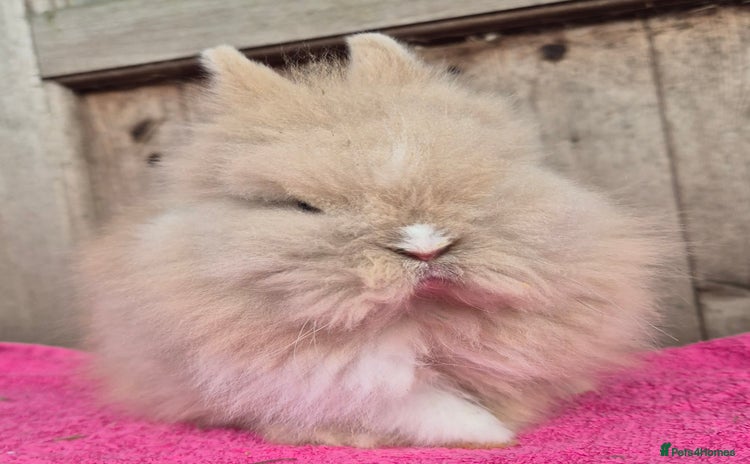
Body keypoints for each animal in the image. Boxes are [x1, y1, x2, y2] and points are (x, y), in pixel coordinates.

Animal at [76, 33, 666, 448]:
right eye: (302, 207)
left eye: (484, 177)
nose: (425, 246)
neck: (420, 319)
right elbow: (415, 405)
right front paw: (484, 434)